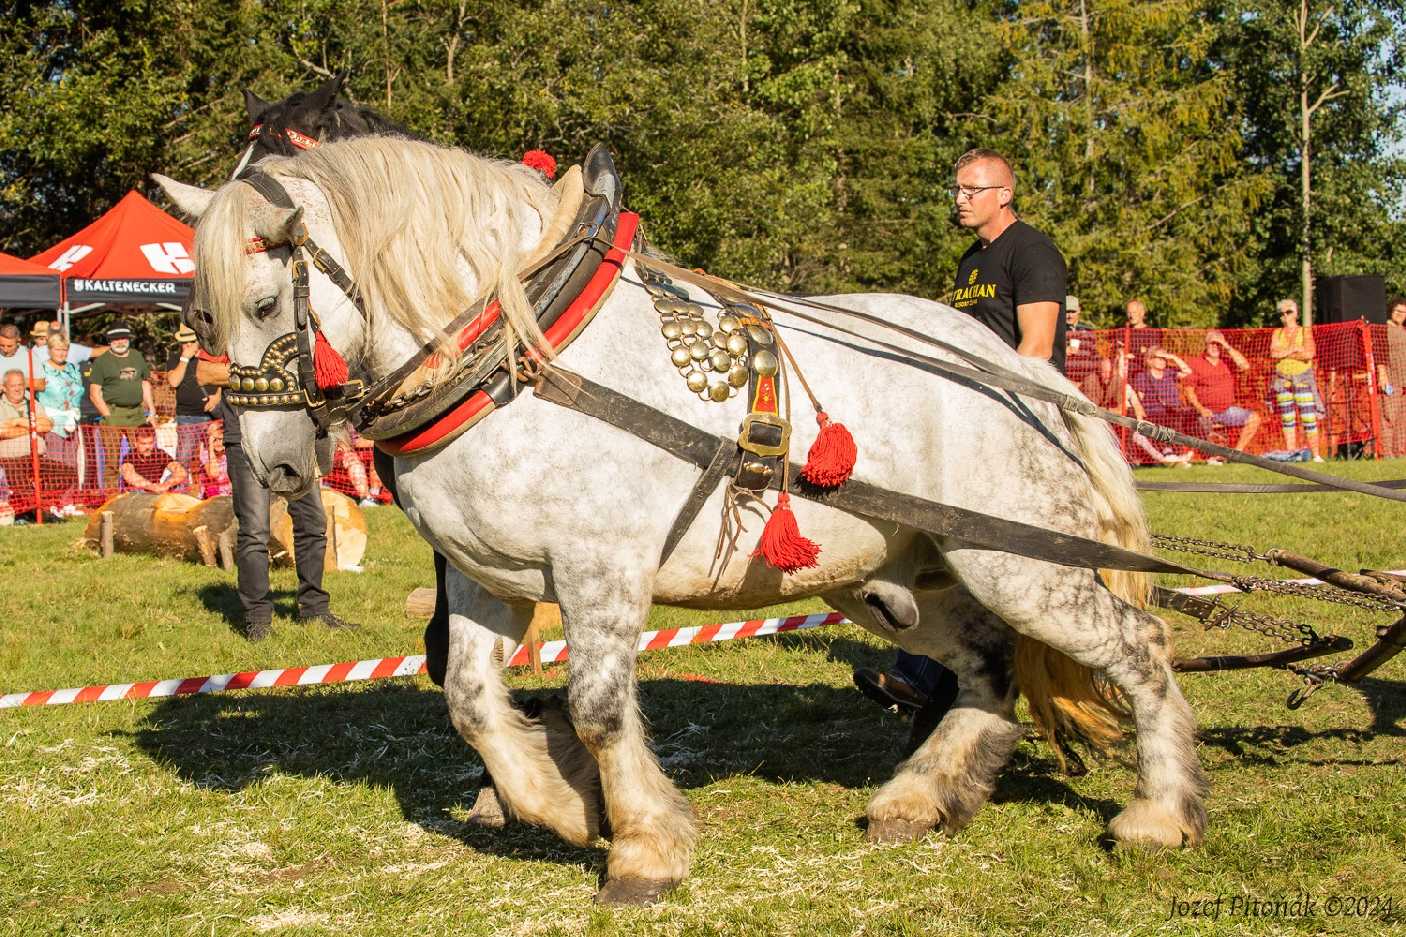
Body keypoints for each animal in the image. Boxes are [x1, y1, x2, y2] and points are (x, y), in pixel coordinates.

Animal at [153, 135, 1209, 900]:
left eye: (263, 300)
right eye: (200, 319)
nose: (274, 464)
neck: (525, 358)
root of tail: (1025, 372)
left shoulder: (599, 567)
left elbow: (598, 706)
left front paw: (643, 848)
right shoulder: (491, 576)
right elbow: (472, 700)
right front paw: (561, 803)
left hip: (1022, 562)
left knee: (1141, 645)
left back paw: (1160, 814)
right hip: (898, 577)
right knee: (988, 664)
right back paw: (920, 795)